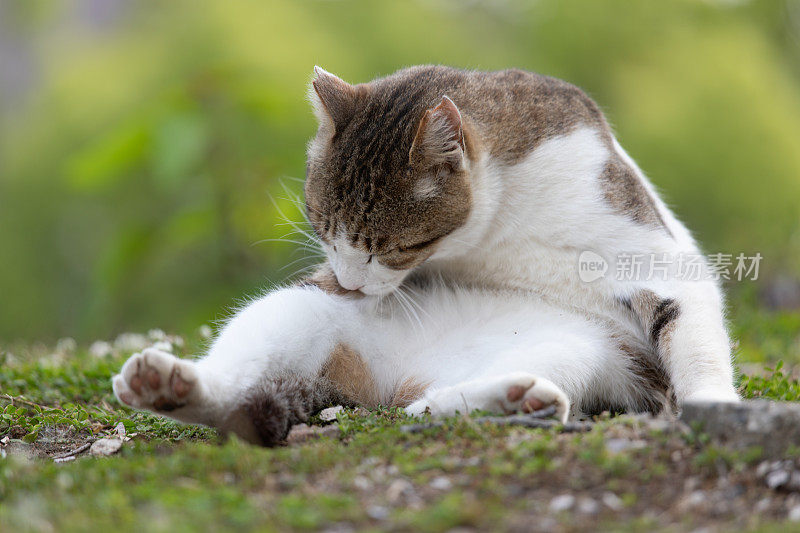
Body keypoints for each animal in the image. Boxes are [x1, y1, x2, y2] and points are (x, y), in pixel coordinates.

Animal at [111, 65, 736, 444]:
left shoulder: (657, 260)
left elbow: (696, 342)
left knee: (431, 408)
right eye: (323, 227)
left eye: (396, 247)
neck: (496, 232)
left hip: (578, 352)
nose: (350, 283)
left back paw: (512, 401)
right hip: (297, 312)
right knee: (244, 387)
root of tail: (391, 385)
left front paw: (715, 403)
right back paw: (169, 387)